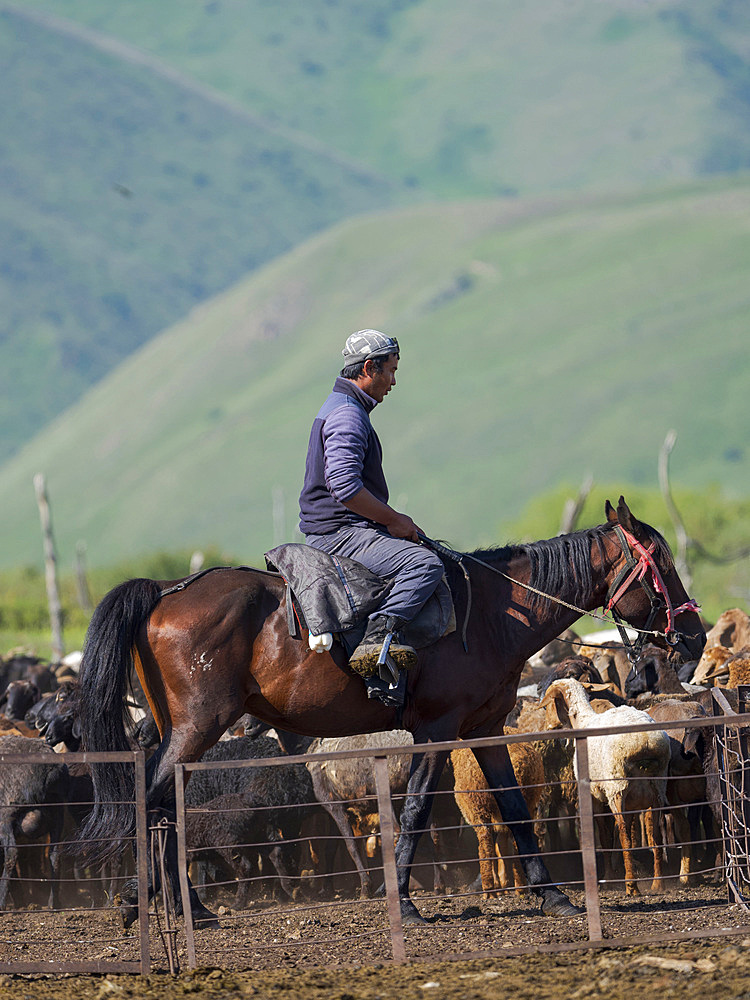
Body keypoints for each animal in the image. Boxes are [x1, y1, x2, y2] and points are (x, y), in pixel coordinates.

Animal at [450, 744, 544, 900]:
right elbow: (501, 847)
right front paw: (503, 885)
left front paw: (498, 886)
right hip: (526, 802)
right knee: (518, 841)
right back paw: (521, 888)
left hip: (478, 805)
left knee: (485, 844)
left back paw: (488, 889)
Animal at [544, 676, 672, 896]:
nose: (548, 726)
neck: (583, 720)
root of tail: (645, 742)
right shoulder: (633, 803)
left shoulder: (594, 794)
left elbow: (605, 836)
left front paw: (609, 878)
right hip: (657, 789)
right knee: (653, 835)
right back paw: (658, 883)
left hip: (617, 788)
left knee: (623, 835)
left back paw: (631, 886)